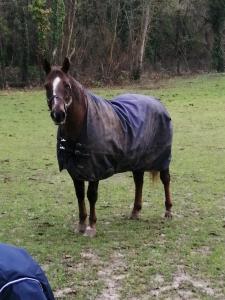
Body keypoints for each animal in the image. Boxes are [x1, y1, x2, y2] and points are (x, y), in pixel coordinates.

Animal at [42, 58, 172, 237]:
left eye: (67, 85)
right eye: (46, 86)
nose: (58, 114)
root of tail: (158, 103)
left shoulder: (95, 169)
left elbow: (91, 195)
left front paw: (91, 227)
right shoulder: (75, 170)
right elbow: (79, 195)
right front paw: (81, 224)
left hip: (163, 159)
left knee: (165, 180)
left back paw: (168, 211)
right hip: (136, 160)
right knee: (139, 182)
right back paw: (135, 211)